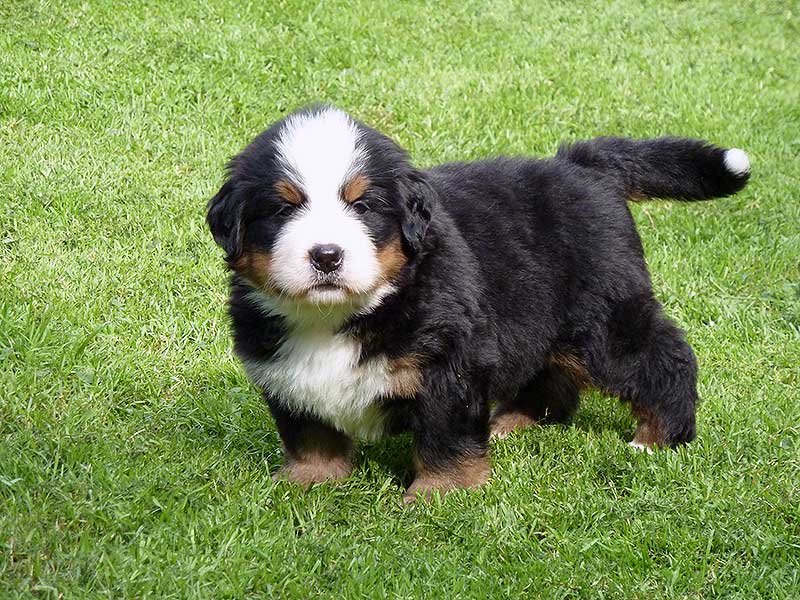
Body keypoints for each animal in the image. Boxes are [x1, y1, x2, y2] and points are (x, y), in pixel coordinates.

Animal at [206, 104, 752, 502]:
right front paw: (307, 482)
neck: (340, 316)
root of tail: (583, 165)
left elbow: (444, 438)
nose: (326, 255)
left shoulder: (451, 363)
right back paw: (515, 421)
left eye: (363, 205)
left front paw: (439, 496)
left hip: (602, 316)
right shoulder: (285, 373)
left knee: (664, 356)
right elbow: (308, 433)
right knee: (552, 375)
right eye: (283, 208)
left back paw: (658, 438)